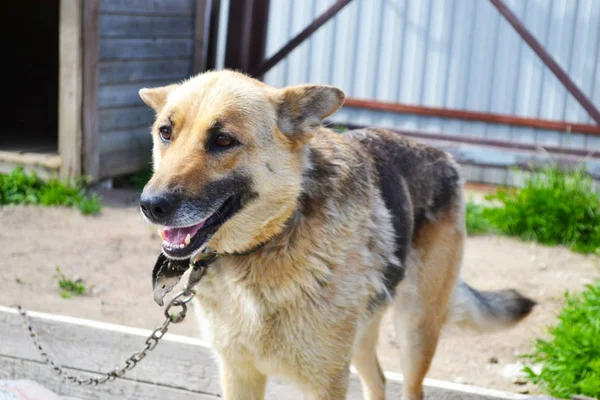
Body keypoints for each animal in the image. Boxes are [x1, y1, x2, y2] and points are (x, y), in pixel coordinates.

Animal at [139, 70, 536, 398]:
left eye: (223, 140)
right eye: (165, 133)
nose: (151, 206)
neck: (273, 240)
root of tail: (443, 155)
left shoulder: (325, 382)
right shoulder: (239, 373)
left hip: (415, 329)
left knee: (411, 387)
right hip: (362, 336)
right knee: (378, 381)